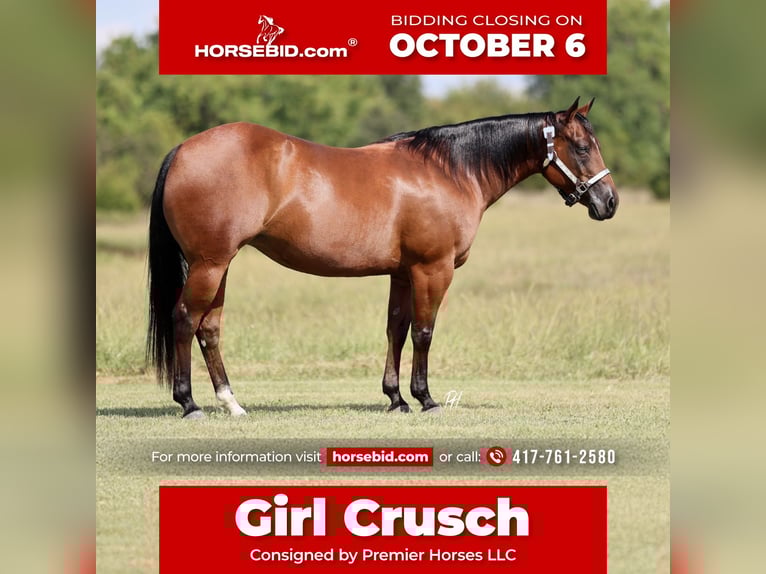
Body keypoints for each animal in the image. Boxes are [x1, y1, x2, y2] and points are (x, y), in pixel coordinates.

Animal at [147, 97, 617, 419]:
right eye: (581, 147)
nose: (609, 202)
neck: (448, 172)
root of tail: (183, 149)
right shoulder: (432, 269)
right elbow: (424, 332)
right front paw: (426, 398)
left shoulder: (403, 273)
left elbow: (396, 329)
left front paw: (396, 398)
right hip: (209, 264)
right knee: (185, 319)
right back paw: (189, 403)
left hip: (220, 265)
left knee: (209, 328)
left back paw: (232, 403)